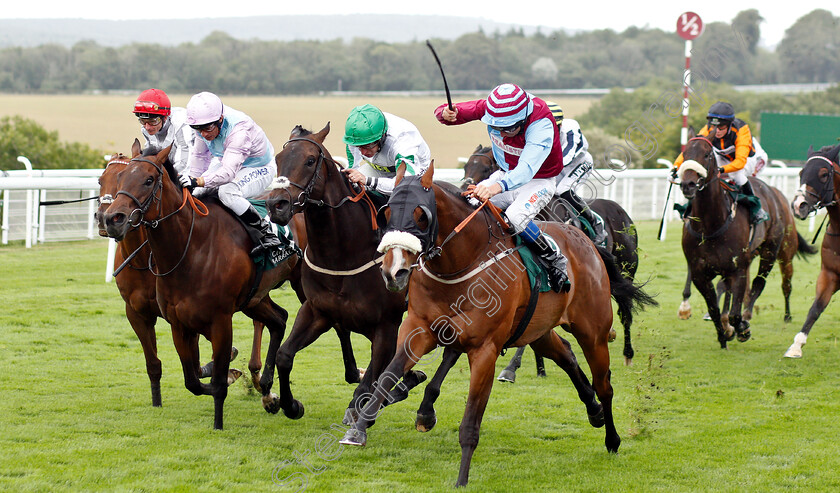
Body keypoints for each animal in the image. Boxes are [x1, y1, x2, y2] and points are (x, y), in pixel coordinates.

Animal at [101, 141, 296, 426]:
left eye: (149, 180)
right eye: (113, 179)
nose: (112, 219)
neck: (191, 248)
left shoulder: (220, 320)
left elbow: (214, 378)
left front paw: (220, 414)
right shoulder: (168, 319)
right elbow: (189, 377)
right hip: (255, 298)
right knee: (279, 319)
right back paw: (269, 390)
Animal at [258, 123, 424, 422]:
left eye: (310, 160)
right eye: (278, 159)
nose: (276, 205)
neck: (342, 255)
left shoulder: (386, 324)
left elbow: (374, 375)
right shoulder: (317, 311)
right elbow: (285, 356)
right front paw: (291, 404)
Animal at [340, 160, 656, 484]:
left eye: (422, 215)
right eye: (386, 212)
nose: (394, 272)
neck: (461, 263)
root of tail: (588, 243)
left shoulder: (485, 349)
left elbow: (470, 421)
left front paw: (461, 480)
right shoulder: (419, 329)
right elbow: (387, 376)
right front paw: (358, 429)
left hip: (593, 332)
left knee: (604, 384)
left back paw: (612, 438)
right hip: (538, 330)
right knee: (566, 354)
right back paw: (594, 410)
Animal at [680, 133, 816, 348]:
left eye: (707, 154)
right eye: (684, 154)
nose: (688, 185)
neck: (711, 225)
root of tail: (774, 192)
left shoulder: (738, 270)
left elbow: (736, 313)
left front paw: (741, 328)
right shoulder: (700, 273)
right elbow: (714, 309)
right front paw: (723, 336)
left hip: (775, 251)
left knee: (766, 284)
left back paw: (778, 315)